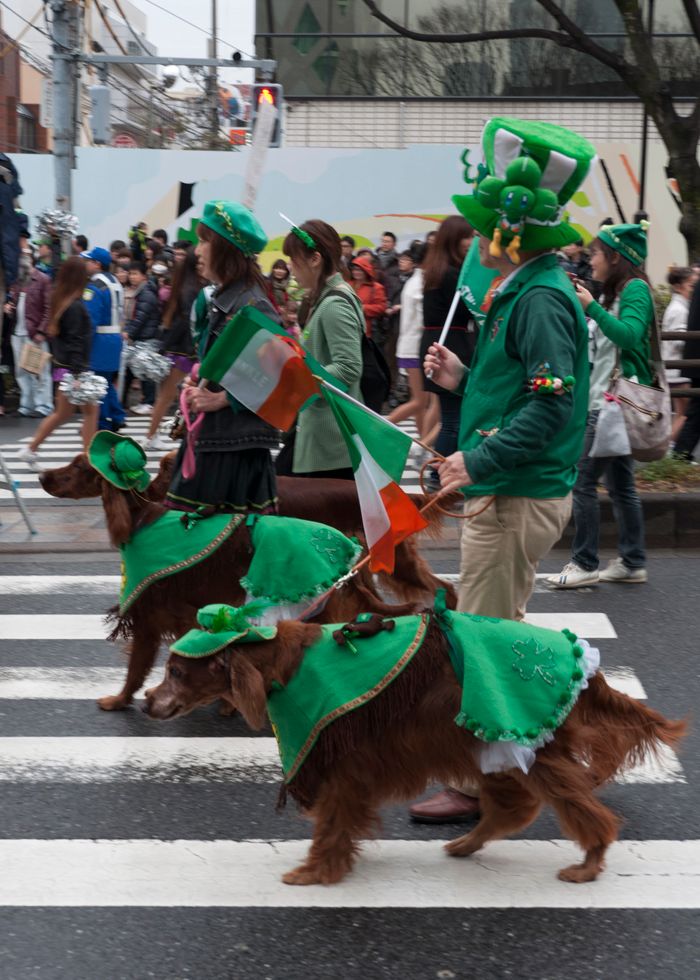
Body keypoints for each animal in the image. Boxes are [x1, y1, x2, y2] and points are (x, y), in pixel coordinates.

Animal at [39, 452, 454, 712]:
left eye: (77, 465)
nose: (43, 476)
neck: (142, 518)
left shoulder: (151, 610)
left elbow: (138, 665)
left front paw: (121, 699)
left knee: (435, 593)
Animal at [145, 620, 688, 888]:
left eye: (176, 671)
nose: (147, 701)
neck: (281, 663)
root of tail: (582, 664)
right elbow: (339, 821)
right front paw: (328, 866)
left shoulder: (340, 763)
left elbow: (332, 823)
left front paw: (316, 871)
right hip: (484, 744)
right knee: (513, 807)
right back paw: (467, 843)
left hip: (528, 744)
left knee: (582, 811)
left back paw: (589, 861)